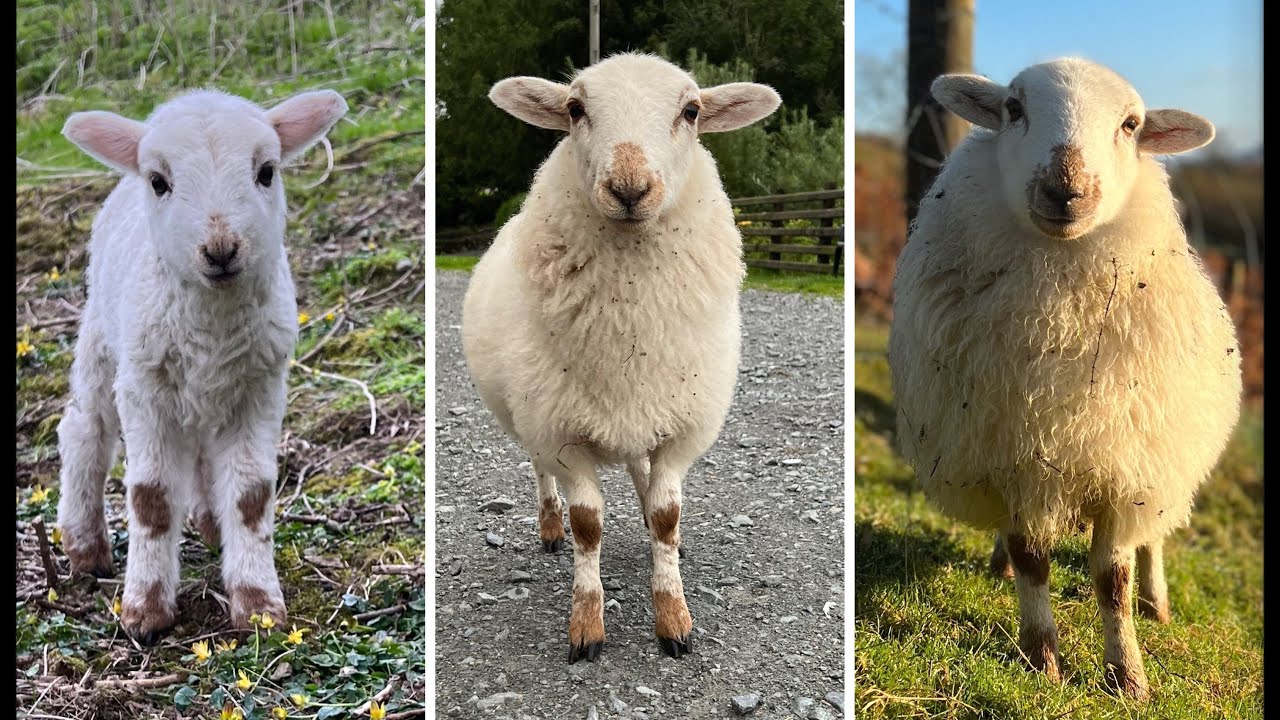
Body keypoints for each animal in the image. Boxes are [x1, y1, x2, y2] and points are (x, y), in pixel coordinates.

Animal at [54, 88, 348, 644]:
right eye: (159, 181)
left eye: (267, 171)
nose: (220, 249)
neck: (212, 325)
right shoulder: (144, 389)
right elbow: (150, 499)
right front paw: (145, 613)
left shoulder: (259, 387)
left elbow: (251, 496)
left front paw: (258, 607)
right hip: (104, 339)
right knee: (85, 430)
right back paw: (85, 549)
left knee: (202, 455)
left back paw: (212, 525)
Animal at [461, 52, 780, 662]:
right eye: (574, 109)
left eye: (691, 110)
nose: (630, 188)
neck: (629, 327)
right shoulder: (561, 432)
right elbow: (588, 524)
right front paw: (587, 625)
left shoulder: (681, 426)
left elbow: (666, 515)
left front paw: (673, 616)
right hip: (530, 415)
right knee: (540, 472)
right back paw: (549, 527)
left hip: (645, 408)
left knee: (641, 473)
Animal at [887, 57, 1242, 699]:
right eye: (1013, 108)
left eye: (1131, 124)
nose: (1065, 189)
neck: (1056, 321)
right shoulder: (1011, 459)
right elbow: (1032, 559)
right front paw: (1040, 658)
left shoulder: (1124, 470)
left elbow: (1113, 579)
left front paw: (1127, 675)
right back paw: (1000, 563)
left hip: (1163, 456)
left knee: (1155, 538)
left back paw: (1157, 601)